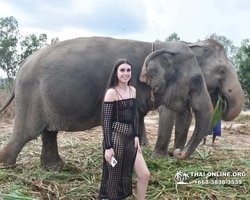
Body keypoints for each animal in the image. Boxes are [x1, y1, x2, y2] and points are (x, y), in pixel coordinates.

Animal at [0, 36, 213, 166]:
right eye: (197, 80)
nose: (176, 153)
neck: (156, 45)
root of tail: (21, 66)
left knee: (48, 132)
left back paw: (56, 167)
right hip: (30, 97)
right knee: (26, 133)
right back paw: (7, 164)